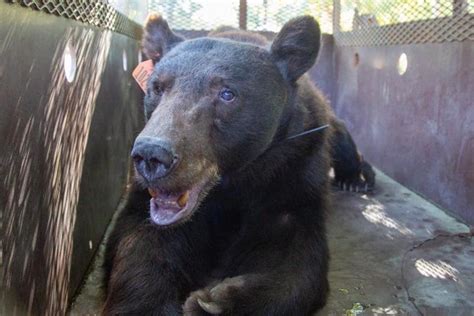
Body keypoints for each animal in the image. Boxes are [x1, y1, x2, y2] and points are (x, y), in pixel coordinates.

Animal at [103, 13, 362, 314]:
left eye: (227, 94)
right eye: (157, 87)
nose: (152, 155)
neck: (231, 181)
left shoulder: (293, 172)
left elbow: (296, 258)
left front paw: (211, 302)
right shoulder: (148, 200)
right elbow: (139, 242)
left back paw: (356, 179)